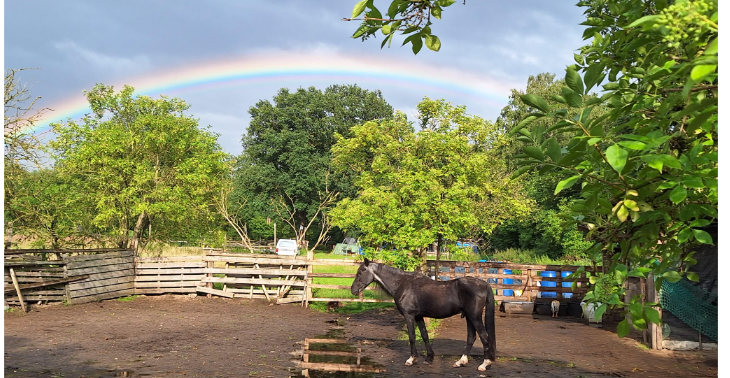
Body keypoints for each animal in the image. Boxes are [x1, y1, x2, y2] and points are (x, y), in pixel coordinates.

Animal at [352, 256, 494, 370]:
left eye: (360, 272)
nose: (353, 290)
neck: (403, 284)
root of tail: (484, 284)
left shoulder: (409, 316)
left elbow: (412, 336)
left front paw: (411, 359)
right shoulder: (419, 316)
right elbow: (424, 335)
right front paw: (429, 358)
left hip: (474, 317)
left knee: (484, 336)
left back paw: (484, 364)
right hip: (469, 317)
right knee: (471, 337)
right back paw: (461, 362)